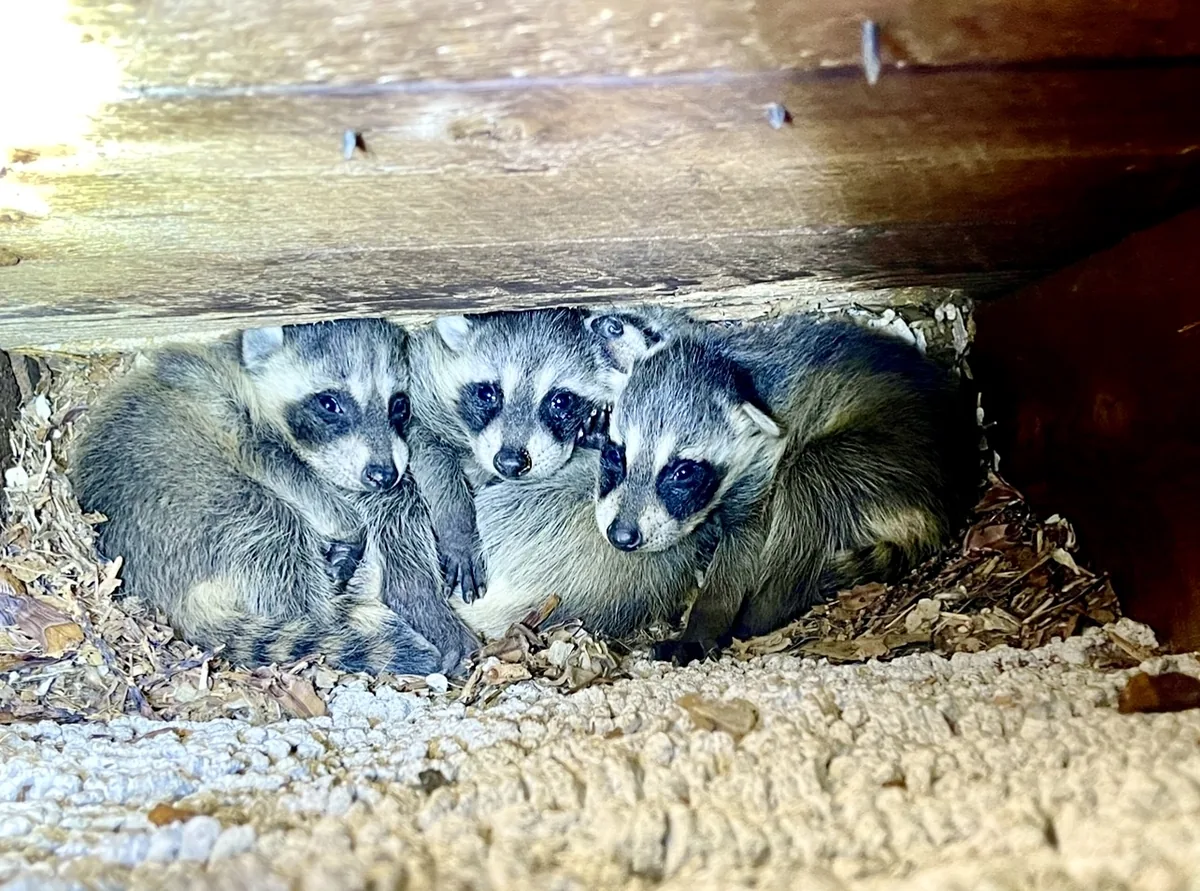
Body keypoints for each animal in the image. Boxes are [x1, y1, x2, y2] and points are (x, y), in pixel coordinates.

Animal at [72, 319, 477, 676]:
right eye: (329, 403)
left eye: (399, 405)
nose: (382, 475)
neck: (248, 376)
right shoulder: (230, 412)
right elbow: (286, 472)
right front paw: (347, 524)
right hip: (190, 506)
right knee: (272, 525)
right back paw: (327, 615)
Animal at [596, 312, 974, 663]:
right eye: (615, 454)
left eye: (683, 471)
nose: (621, 536)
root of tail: (944, 507)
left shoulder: (764, 468)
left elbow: (744, 549)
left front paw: (705, 621)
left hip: (885, 462)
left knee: (807, 482)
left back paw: (768, 605)